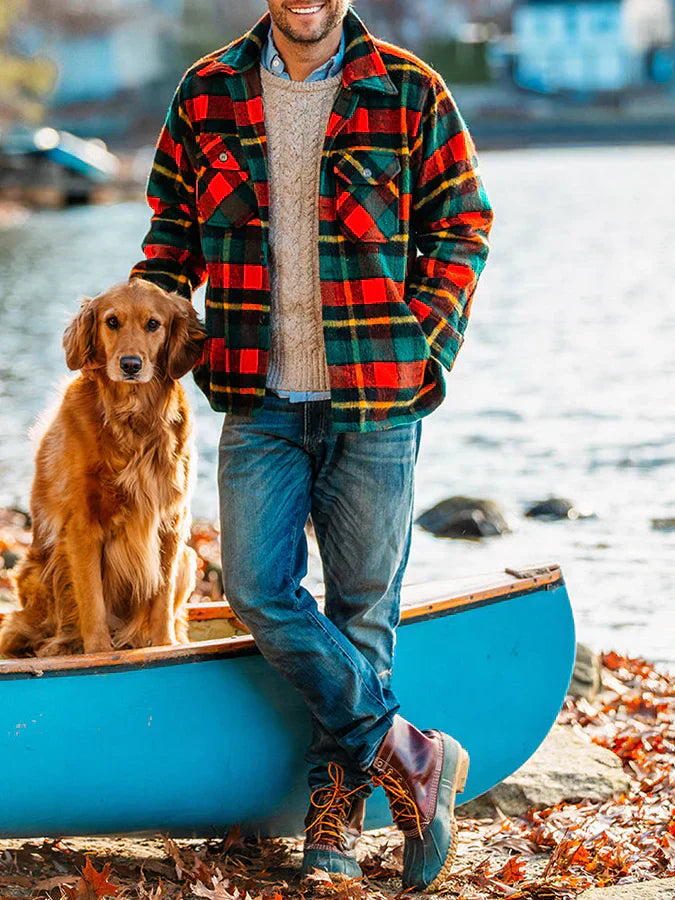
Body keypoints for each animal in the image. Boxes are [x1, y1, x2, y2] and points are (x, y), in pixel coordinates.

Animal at [0, 278, 207, 656]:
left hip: (187, 558)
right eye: (112, 322)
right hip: (39, 572)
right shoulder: (82, 527)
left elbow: (161, 599)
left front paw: (165, 646)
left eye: (153, 324)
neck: (131, 418)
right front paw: (98, 651)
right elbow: (92, 601)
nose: (130, 364)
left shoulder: (171, 522)